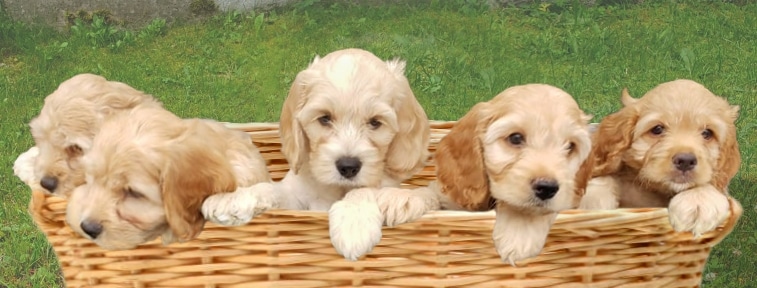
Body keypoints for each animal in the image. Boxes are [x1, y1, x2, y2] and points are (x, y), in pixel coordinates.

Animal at [201, 48, 428, 260]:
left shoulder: (384, 183)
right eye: (324, 118)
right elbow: (272, 189)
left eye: (375, 122)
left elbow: (365, 190)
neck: (336, 189)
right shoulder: (297, 200)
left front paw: (353, 224)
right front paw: (231, 199)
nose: (348, 167)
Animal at [328, 83, 592, 264]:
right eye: (516, 138)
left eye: (570, 146)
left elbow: (528, 209)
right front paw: (400, 198)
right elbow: (430, 192)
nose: (547, 188)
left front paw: (520, 229)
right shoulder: (452, 196)